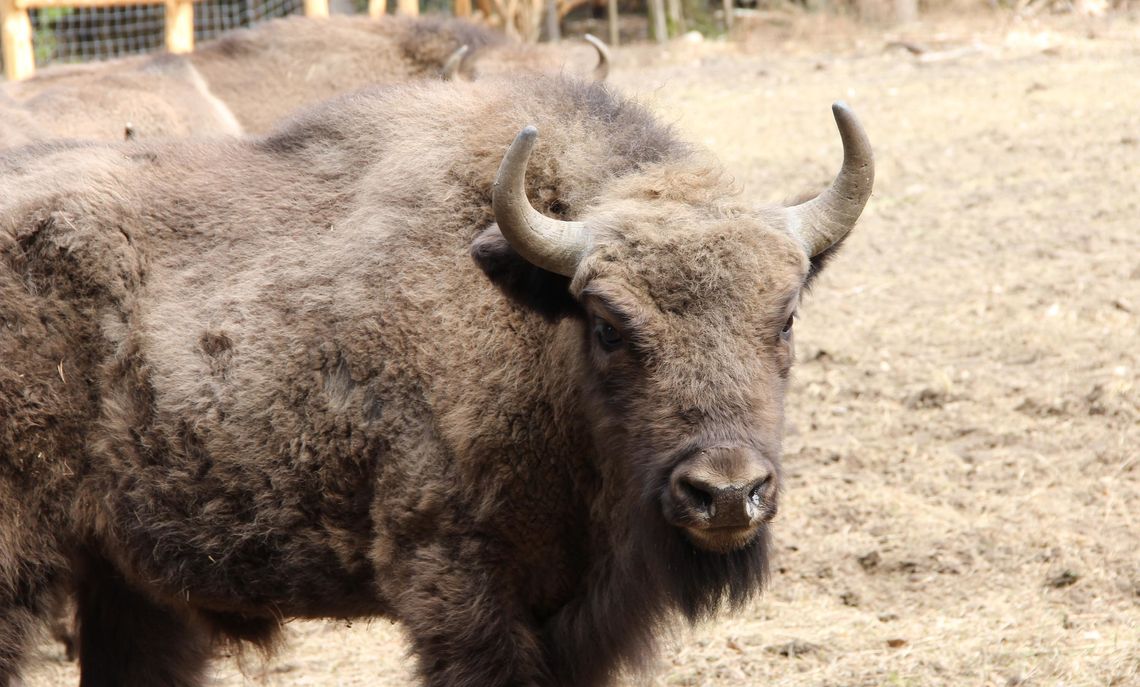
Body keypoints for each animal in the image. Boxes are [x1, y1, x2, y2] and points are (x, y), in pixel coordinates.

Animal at [0, 75, 870, 687]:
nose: (726, 492)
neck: (530, 326)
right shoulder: (457, 586)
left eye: (786, 315)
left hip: (126, 577)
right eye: (608, 324)